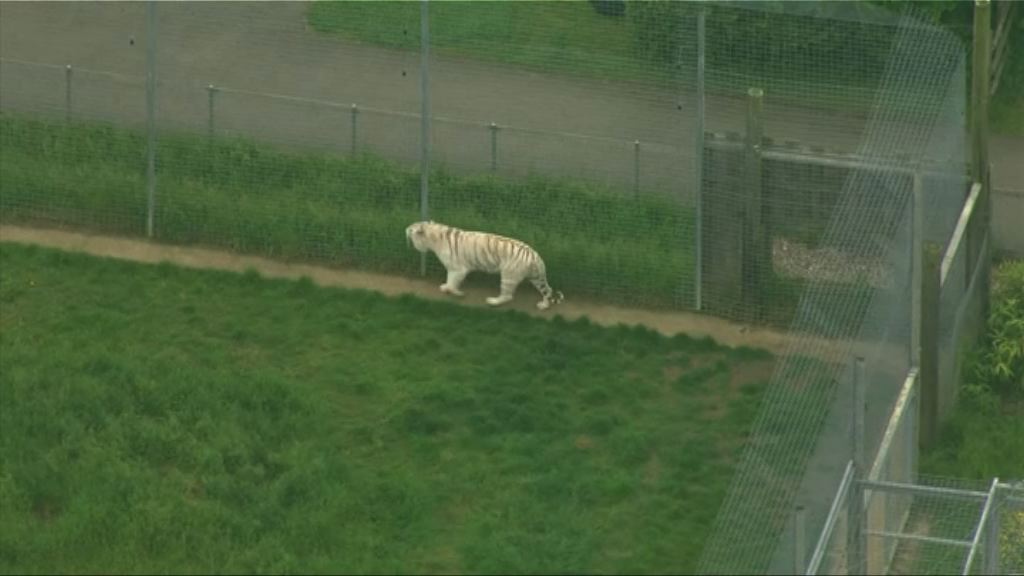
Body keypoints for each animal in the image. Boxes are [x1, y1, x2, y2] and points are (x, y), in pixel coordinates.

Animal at [405, 220, 565, 310]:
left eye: (412, 229)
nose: (405, 229)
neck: (434, 240)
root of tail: (535, 256)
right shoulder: (452, 268)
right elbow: (449, 280)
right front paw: (446, 287)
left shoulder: (459, 269)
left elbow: (452, 282)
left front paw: (457, 293)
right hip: (536, 277)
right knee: (547, 290)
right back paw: (543, 305)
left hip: (508, 276)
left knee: (507, 296)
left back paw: (493, 301)